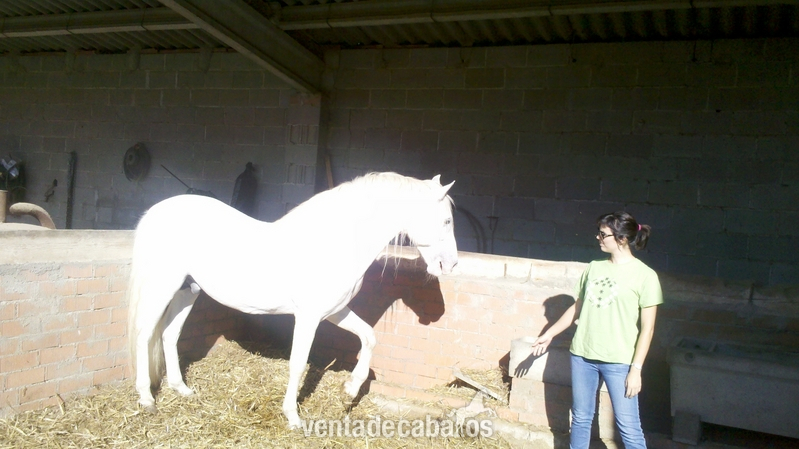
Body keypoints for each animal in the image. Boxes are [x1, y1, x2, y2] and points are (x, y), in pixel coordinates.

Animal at [127, 172, 457, 429]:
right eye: (446, 221)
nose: (450, 265)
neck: (337, 242)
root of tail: (154, 212)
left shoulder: (335, 311)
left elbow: (369, 337)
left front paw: (350, 389)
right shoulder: (308, 317)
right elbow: (298, 363)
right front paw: (293, 416)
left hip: (187, 290)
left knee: (169, 334)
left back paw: (181, 389)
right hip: (162, 287)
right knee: (144, 335)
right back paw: (147, 399)